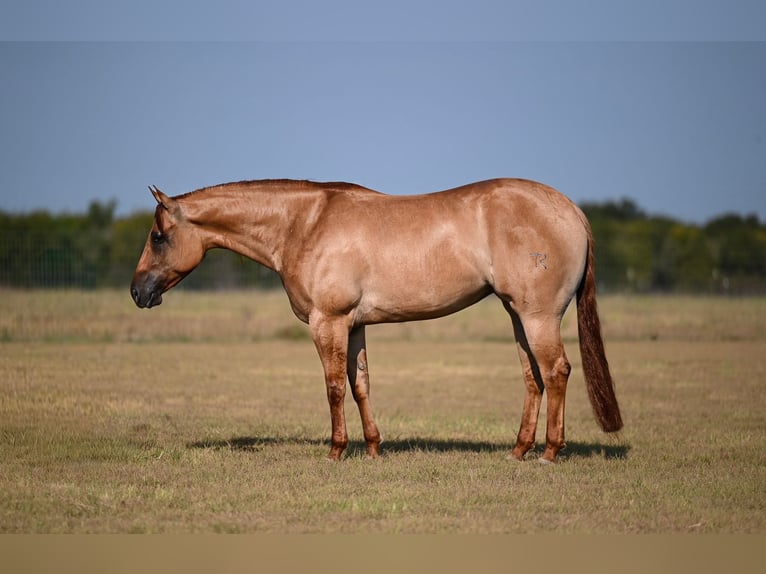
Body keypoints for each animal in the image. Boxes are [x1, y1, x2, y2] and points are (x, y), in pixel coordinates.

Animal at [130, 178, 623, 463]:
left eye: (157, 237)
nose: (137, 292)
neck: (304, 223)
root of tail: (570, 210)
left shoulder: (327, 321)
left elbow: (333, 386)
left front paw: (336, 450)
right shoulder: (354, 325)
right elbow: (360, 383)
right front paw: (371, 447)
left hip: (538, 317)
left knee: (556, 372)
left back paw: (549, 453)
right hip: (518, 316)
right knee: (533, 378)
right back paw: (519, 450)